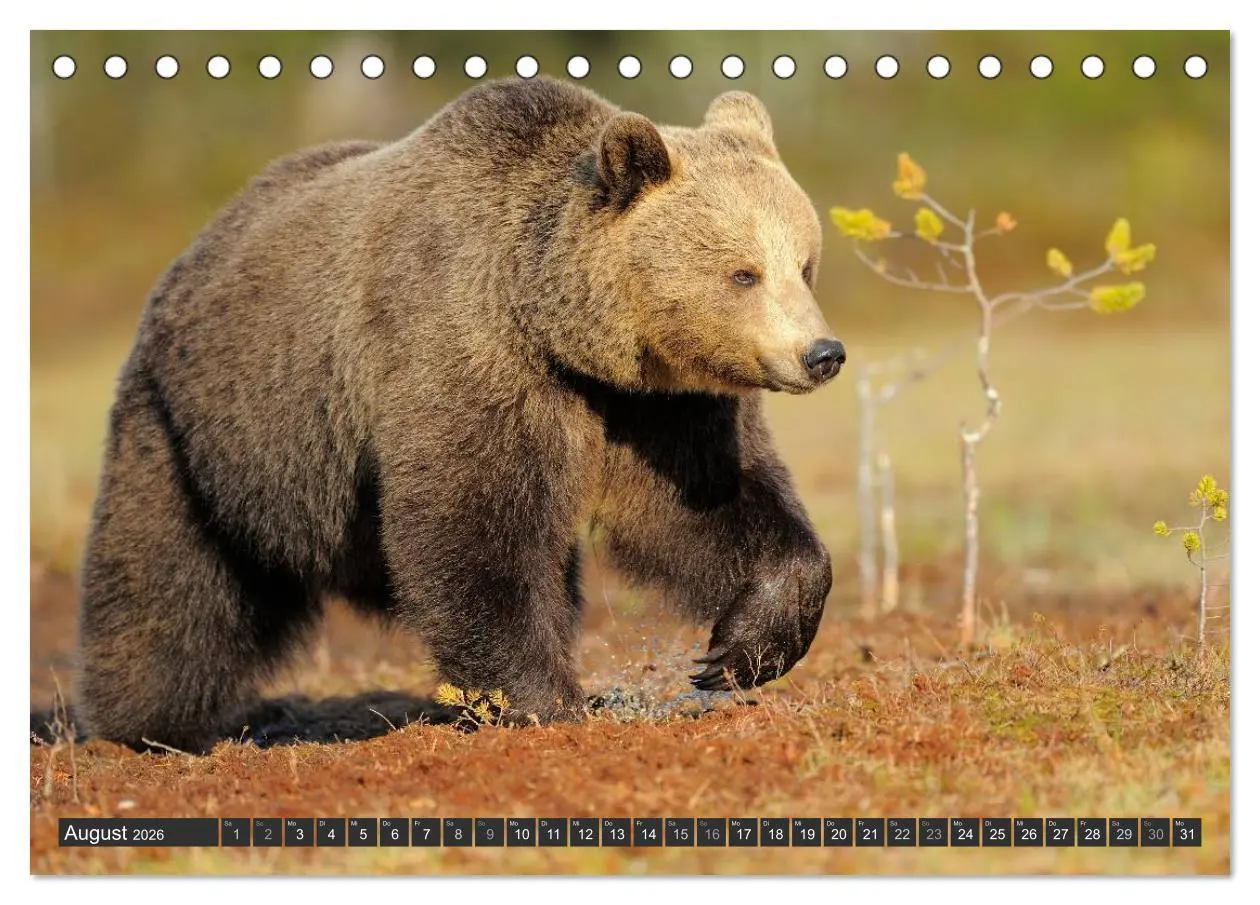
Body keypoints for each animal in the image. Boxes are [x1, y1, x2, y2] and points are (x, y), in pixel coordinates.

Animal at [75, 76, 846, 752]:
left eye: (805, 263)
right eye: (743, 272)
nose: (822, 353)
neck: (555, 325)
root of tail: (195, 250)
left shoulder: (652, 406)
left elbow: (703, 506)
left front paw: (737, 652)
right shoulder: (464, 345)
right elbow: (475, 524)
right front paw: (548, 701)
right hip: (203, 429)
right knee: (167, 586)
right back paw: (146, 726)